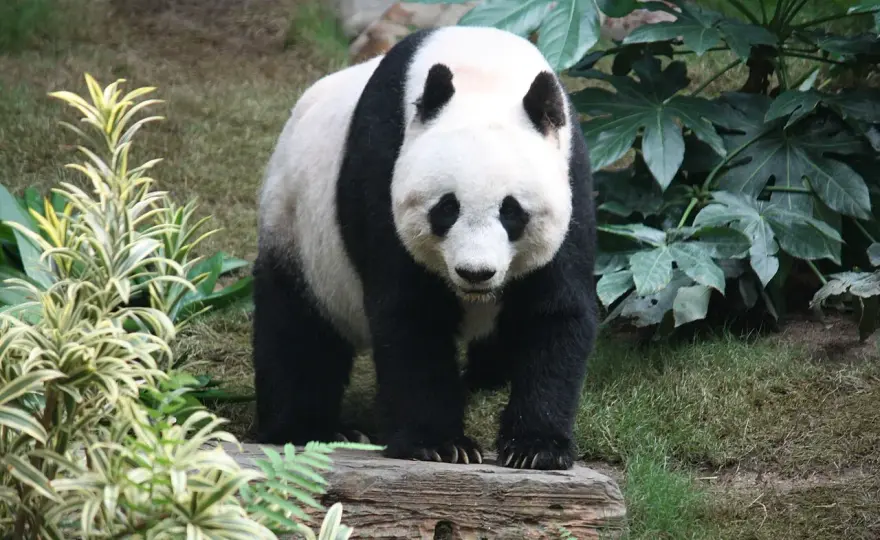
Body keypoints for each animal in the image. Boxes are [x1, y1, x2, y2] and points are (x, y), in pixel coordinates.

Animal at [253, 25, 597, 470]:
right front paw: (440, 444)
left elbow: (553, 311)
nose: (475, 273)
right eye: (446, 208)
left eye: (512, 212)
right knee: (298, 331)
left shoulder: (572, 178)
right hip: (297, 228)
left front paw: (535, 447)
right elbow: (411, 313)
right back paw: (311, 429)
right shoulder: (382, 164)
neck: (484, 72)